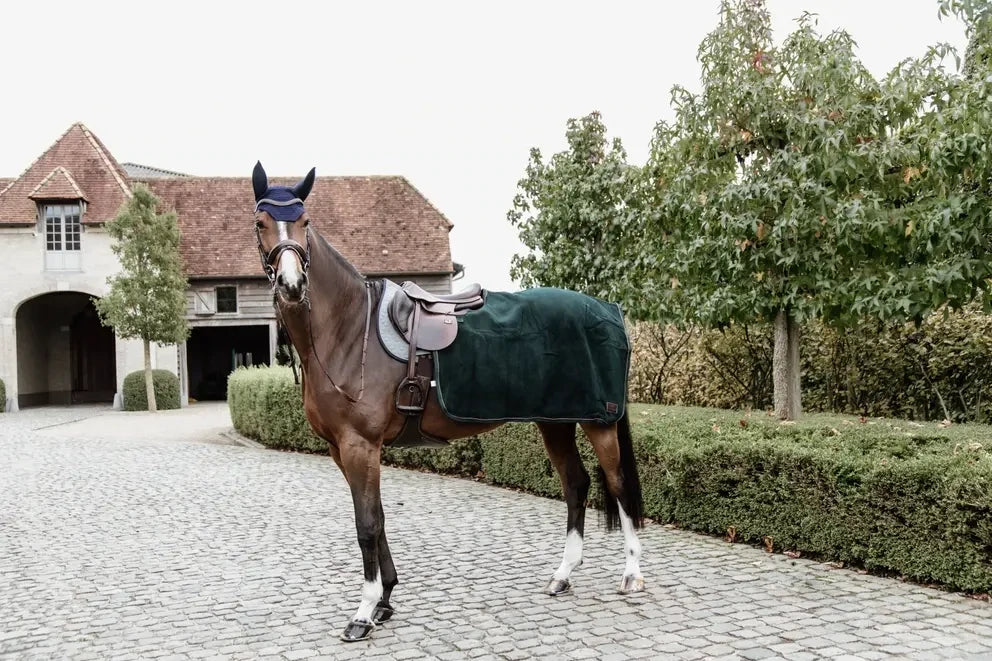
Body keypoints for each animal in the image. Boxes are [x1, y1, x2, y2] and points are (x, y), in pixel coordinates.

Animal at [250, 162, 645, 642]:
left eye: (305, 223)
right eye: (260, 222)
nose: (292, 285)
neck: (349, 330)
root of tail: (610, 311)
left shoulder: (360, 445)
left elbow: (366, 525)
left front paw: (363, 613)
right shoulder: (342, 450)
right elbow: (379, 519)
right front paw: (385, 600)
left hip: (598, 421)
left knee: (619, 486)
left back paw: (632, 575)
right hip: (555, 421)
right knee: (576, 485)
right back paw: (562, 575)